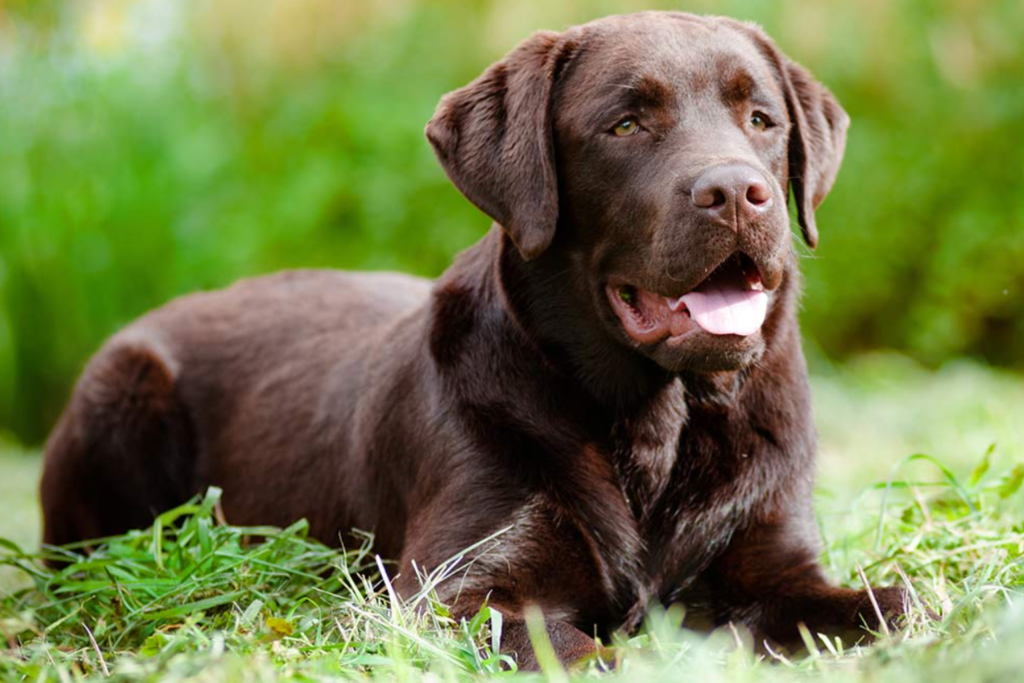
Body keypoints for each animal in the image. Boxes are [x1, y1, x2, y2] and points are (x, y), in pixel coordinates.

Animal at [39, 10, 909, 671]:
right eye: (625, 123)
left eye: (761, 119)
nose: (737, 192)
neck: (658, 423)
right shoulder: (456, 592)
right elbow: (592, 651)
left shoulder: (777, 557)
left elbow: (899, 602)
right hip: (119, 390)